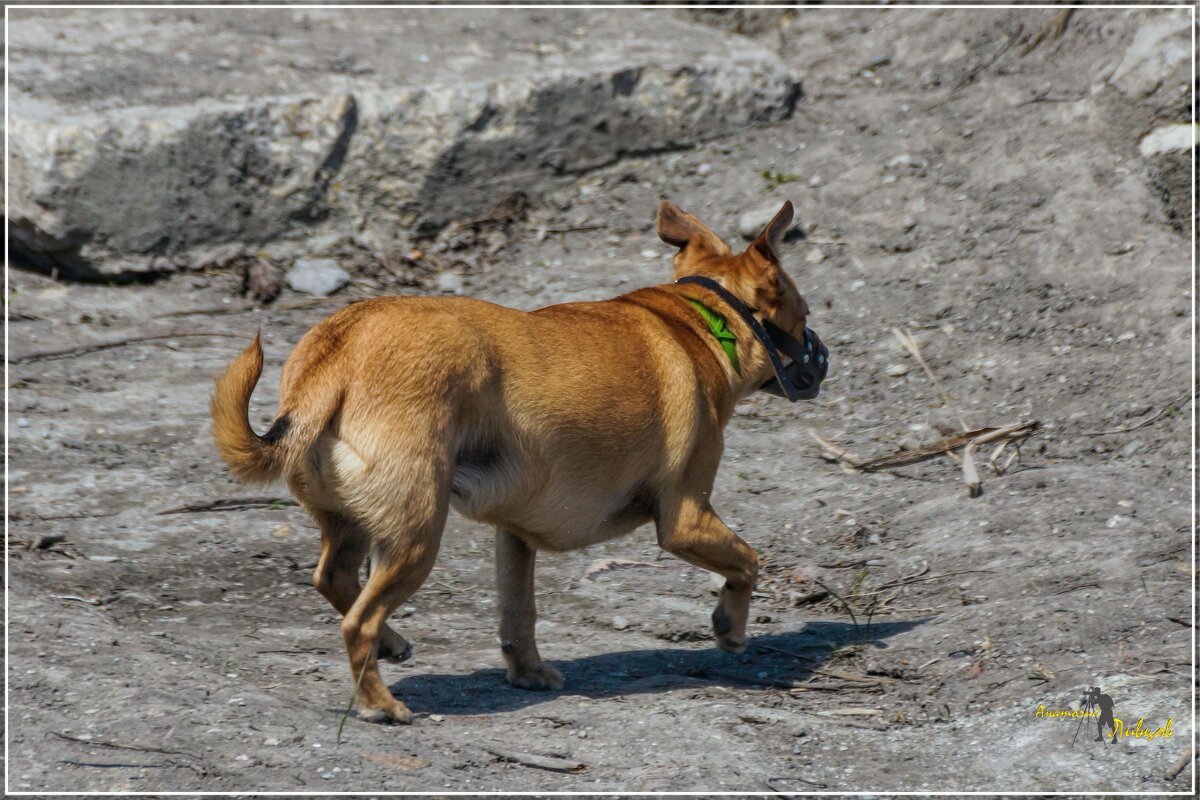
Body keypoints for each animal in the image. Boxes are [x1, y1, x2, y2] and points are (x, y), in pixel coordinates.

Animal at [211, 200, 820, 724]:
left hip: (359, 524)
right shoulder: (686, 519)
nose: (823, 353)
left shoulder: (515, 536)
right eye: (805, 311)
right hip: (417, 536)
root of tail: (333, 358)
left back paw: (392, 642)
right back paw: (380, 703)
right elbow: (747, 561)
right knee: (357, 621)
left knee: (336, 580)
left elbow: (518, 612)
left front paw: (527, 672)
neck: (703, 321)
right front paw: (730, 627)